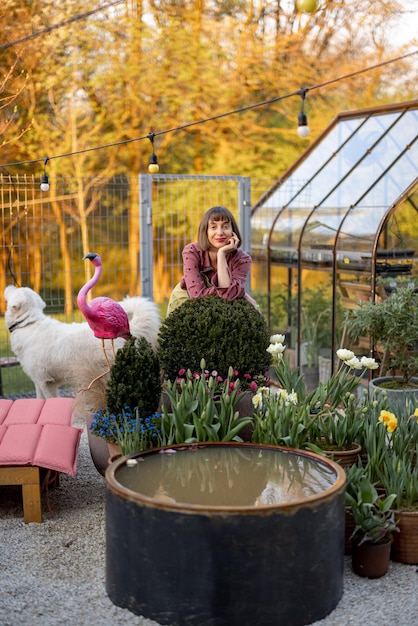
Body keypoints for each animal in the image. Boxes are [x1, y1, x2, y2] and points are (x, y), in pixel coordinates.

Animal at [4, 284, 161, 398]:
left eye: (15, 290)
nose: (9, 285)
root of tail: (126, 329)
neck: (27, 323)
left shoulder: (47, 383)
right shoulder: (38, 381)